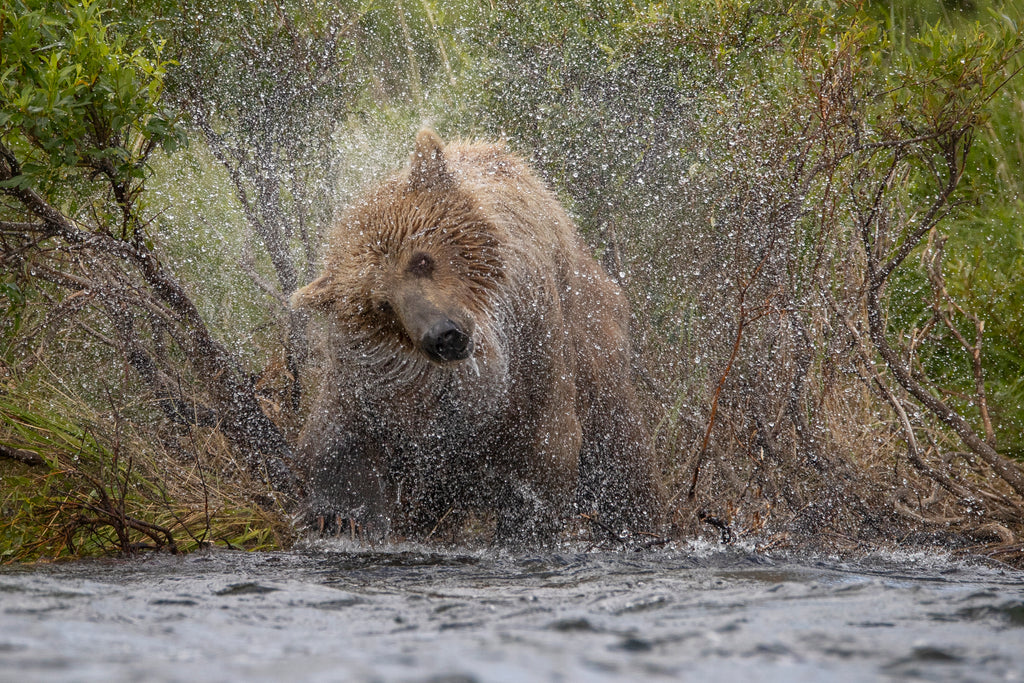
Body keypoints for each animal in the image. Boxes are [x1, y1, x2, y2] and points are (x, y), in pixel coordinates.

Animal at [292, 127, 667, 544]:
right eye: (381, 305)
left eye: (421, 259)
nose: (441, 335)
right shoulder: (370, 383)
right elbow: (338, 444)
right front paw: (340, 518)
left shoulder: (534, 344)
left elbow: (546, 452)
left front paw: (525, 525)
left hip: (592, 336)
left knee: (622, 450)